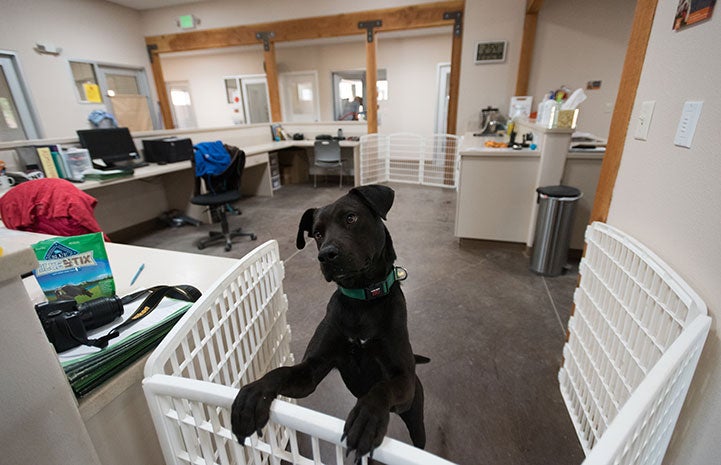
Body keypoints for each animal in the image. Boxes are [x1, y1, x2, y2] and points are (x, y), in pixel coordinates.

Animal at [231, 184, 424, 460]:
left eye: (351, 218)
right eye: (317, 233)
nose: (326, 255)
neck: (361, 302)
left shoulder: (403, 380)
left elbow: (381, 388)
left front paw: (367, 417)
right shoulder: (310, 371)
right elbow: (280, 372)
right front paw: (254, 393)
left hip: (415, 412)